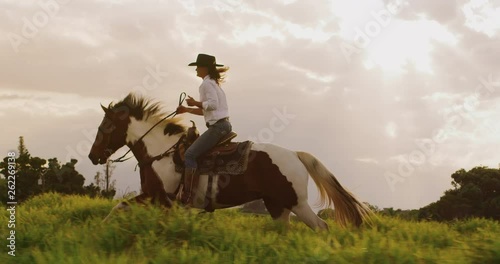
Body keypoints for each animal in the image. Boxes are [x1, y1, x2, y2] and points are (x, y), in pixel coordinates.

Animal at [89, 94, 372, 230]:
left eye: (105, 126)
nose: (93, 156)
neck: (162, 152)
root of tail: (295, 154)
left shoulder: (160, 198)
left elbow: (121, 208)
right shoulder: (156, 199)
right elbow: (120, 208)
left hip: (297, 204)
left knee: (322, 227)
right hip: (277, 206)